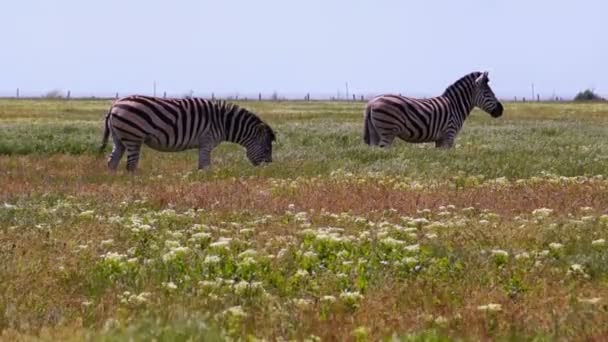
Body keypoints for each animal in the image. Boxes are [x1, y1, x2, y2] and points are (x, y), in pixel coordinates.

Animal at [100, 95, 276, 171]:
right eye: (267, 149)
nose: (268, 168)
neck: (224, 123)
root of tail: (115, 104)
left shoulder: (204, 144)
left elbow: (201, 166)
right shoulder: (207, 141)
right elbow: (205, 167)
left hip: (119, 138)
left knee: (112, 161)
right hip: (133, 137)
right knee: (130, 165)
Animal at [364, 71, 502, 148]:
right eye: (487, 93)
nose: (501, 110)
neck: (455, 105)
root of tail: (372, 102)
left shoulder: (440, 139)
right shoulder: (449, 135)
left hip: (375, 133)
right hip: (387, 131)